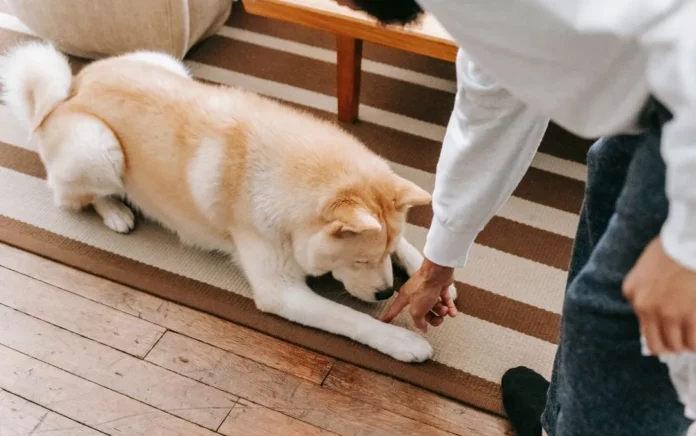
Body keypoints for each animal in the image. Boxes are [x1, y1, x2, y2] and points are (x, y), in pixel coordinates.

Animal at [1, 41, 456, 362]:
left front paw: (432, 276)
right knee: (72, 196)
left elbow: (412, 247)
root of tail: (70, 92)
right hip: (97, 147)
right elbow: (350, 320)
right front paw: (401, 341)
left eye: (383, 254)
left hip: (168, 65)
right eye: (360, 261)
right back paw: (115, 211)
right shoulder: (280, 291)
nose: (385, 293)